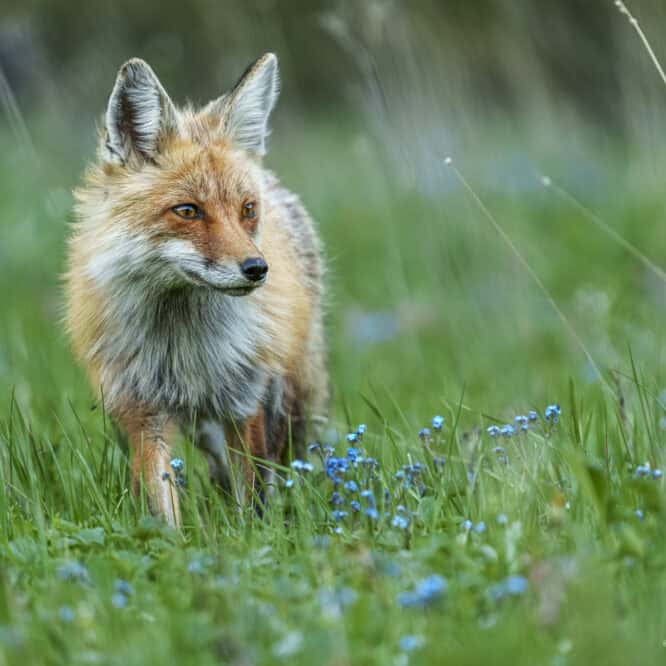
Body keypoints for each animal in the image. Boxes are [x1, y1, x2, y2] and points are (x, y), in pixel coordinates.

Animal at [65, 53, 327, 527]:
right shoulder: (142, 410)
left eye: (247, 210)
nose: (257, 269)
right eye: (187, 211)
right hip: (203, 425)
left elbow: (253, 492)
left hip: (290, 394)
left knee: (284, 463)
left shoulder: (246, 397)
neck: (183, 345)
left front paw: (253, 538)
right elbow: (160, 500)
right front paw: (172, 543)